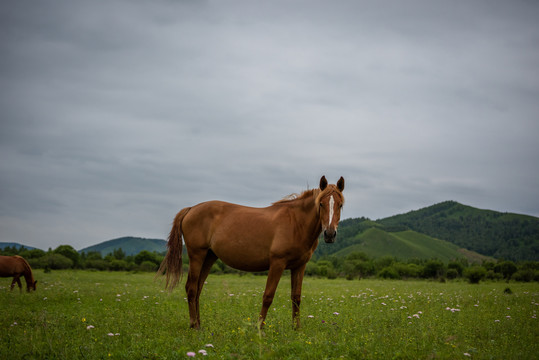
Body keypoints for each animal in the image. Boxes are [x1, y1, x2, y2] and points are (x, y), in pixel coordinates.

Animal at [157, 175, 346, 330]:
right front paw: (259, 328)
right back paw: (194, 325)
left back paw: (199, 323)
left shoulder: (299, 266)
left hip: (209, 257)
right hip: (197, 255)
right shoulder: (277, 263)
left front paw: (296, 329)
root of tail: (191, 208)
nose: (330, 234)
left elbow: (296, 297)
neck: (296, 223)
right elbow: (268, 296)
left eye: (340, 205)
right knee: (191, 288)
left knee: (197, 288)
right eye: (321, 204)